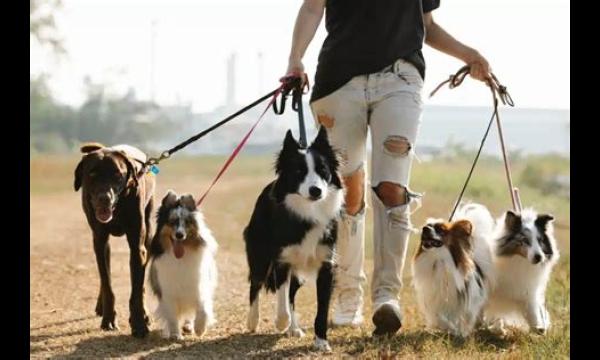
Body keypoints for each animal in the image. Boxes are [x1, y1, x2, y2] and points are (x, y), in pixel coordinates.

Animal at [73, 143, 155, 338]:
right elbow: (107, 284)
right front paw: (109, 319)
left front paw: (139, 323)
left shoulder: (137, 246)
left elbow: (136, 290)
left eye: (118, 175)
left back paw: (145, 313)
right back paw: (101, 305)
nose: (104, 198)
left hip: (148, 233)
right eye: (92, 174)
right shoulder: (100, 240)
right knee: (105, 275)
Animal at [149, 190, 219, 338]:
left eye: (187, 222)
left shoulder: (199, 287)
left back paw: (189, 326)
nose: (179, 235)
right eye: (172, 222)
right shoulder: (168, 292)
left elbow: (203, 309)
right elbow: (172, 316)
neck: (181, 258)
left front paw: (200, 329)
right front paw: (175, 334)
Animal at [244, 127, 344, 352]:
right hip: (260, 254)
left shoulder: (326, 264)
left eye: (323, 170)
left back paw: (294, 328)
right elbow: (281, 302)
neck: (308, 211)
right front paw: (281, 322)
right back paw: (253, 321)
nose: (316, 190)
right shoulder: (282, 260)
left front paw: (321, 342)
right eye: (299, 172)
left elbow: (321, 309)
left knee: (291, 292)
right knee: (256, 284)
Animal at [414, 205, 494, 338]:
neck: (439, 260)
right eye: (427, 226)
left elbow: (465, 317)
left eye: (441, 230)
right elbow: (440, 317)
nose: (424, 229)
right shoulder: (435, 298)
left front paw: (461, 332)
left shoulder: (466, 299)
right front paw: (450, 328)